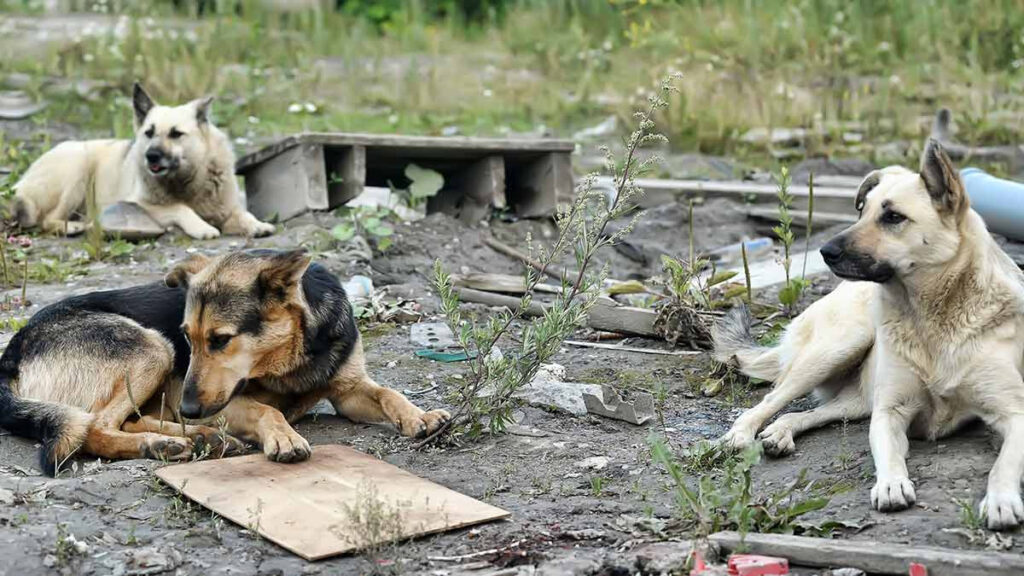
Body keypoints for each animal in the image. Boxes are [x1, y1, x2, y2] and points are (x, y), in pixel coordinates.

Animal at [12, 83, 274, 237]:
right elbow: (179, 208)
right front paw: (202, 227)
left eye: (176, 134)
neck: (187, 178)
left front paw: (257, 224)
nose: (151, 156)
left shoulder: (227, 209)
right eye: (149, 132)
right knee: (46, 219)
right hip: (78, 168)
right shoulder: (139, 203)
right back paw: (72, 227)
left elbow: (243, 214)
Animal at [716, 140, 1024, 528]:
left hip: (857, 401)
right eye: (862, 211)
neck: (930, 319)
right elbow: (889, 456)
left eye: (893, 217)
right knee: (769, 401)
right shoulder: (889, 412)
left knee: (804, 413)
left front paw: (1001, 499)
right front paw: (891, 484)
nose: (825, 251)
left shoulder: (1015, 412)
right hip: (840, 347)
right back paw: (740, 434)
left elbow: (1004, 463)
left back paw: (780, 432)